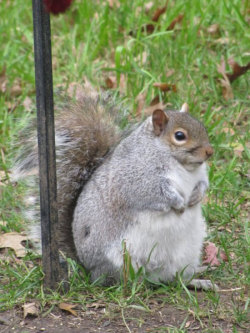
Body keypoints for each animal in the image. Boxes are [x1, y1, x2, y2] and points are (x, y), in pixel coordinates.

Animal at [12, 91, 214, 288]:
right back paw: (134, 285)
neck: (183, 165)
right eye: (180, 136)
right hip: (120, 259)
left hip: (187, 254)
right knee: (118, 280)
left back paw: (196, 282)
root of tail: (88, 268)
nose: (210, 152)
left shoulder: (200, 175)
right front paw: (179, 203)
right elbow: (155, 194)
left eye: (202, 126)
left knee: (174, 279)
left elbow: (203, 183)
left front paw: (197, 196)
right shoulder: (137, 179)